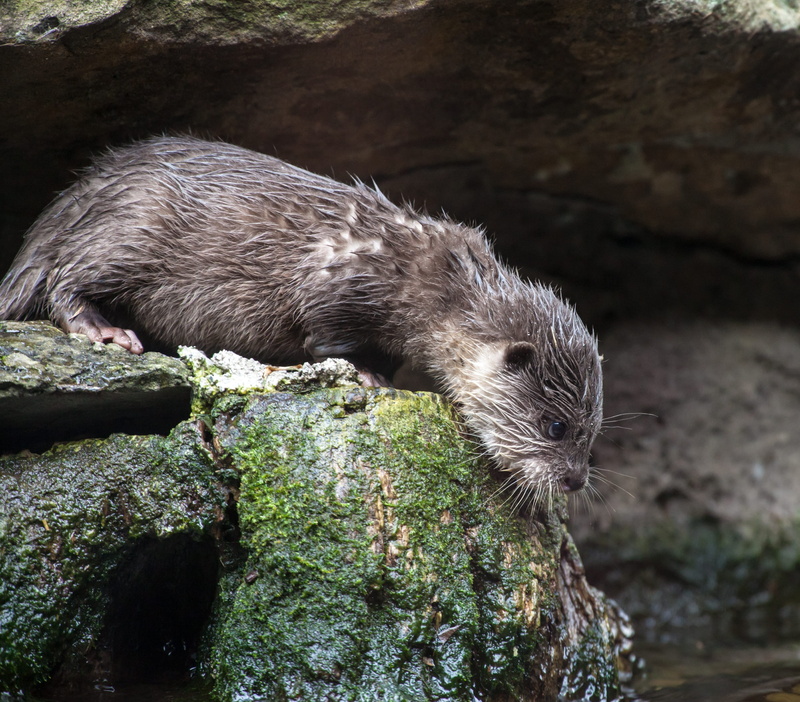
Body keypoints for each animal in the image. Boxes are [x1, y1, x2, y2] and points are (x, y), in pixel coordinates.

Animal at [0, 136, 602, 504]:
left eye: (592, 434)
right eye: (556, 426)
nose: (574, 480)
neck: (433, 285)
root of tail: (78, 193)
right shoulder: (340, 284)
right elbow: (325, 338)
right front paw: (369, 377)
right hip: (130, 230)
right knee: (65, 278)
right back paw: (106, 331)